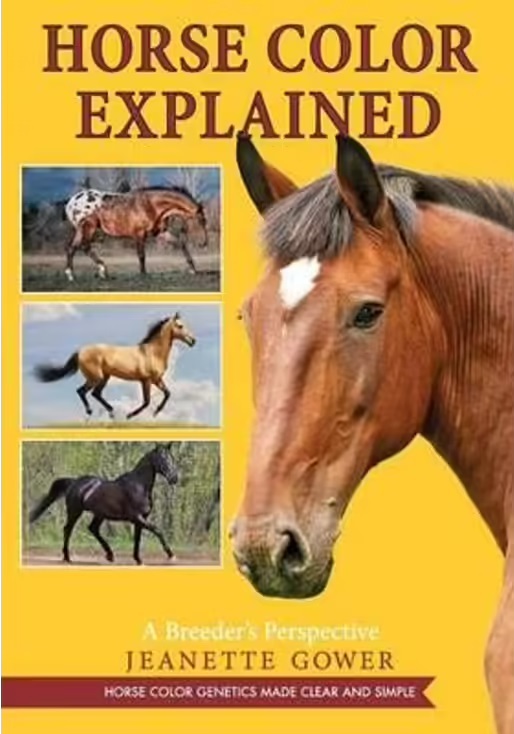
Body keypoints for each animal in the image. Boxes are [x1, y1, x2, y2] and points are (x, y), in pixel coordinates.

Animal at [29, 444, 179, 564]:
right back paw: (67, 557)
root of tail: (74, 482)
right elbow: (157, 530)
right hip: (75, 511)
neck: (138, 486)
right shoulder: (136, 517)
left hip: (99, 514)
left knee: (93, 529)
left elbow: (137, 539)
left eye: (172, 458)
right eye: (162, 459)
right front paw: (171, 555)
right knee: (68, 530)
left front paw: (138, 560)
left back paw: (110, 555)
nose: (174, 478)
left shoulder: (141, 519)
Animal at [34, 313, 196, 420]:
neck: (152, 353)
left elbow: (167, 393)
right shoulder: (146, 380)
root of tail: (80, 351)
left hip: (105, 377)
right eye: (180, 326)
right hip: (96, 377)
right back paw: (92, 412)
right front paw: (130, 415)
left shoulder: (156, 380)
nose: (193, 341)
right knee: (82, 391)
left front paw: (156, 412)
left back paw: (111, 412)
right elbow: (146, 401)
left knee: (95, 393)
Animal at [63, 185, 208, 281]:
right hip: (89, 228)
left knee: (72, 248)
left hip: (81, 230)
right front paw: (143, 274)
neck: (151, 204)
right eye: (200, 220)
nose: (203, 243)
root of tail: (71, 202)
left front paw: (192, 269)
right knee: (84, 247)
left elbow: (180, 243)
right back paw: (102, 270)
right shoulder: (139, 234)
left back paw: (71, 275)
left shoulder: (160, 233)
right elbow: (141, 255)